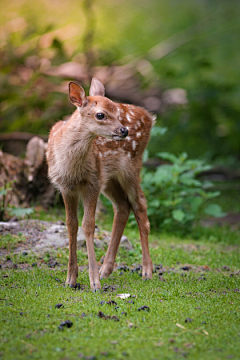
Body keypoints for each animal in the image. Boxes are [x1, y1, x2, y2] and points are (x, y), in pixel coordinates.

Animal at [46, 77, 155, 292]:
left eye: (117, 113)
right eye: (100, 115)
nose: (124, 130)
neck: (71, 167)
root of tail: (149, 116)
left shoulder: (93, 183)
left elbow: (88, 225)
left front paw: (94, 282)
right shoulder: (65, 187)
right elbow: (71, 224)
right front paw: (71, 279)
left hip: (131, 167)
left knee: (140, 205)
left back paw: (147, 271)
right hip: (110, 178)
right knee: (123, 206)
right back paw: (106, 269)